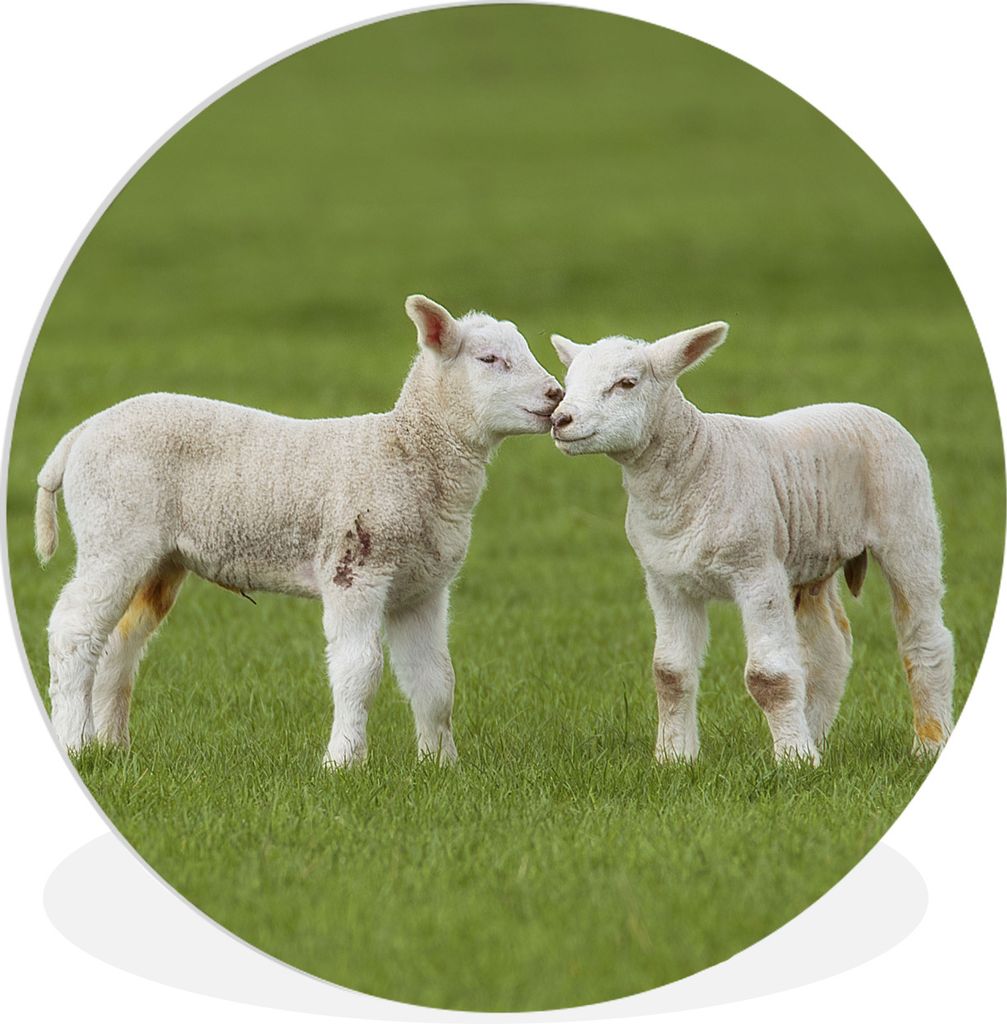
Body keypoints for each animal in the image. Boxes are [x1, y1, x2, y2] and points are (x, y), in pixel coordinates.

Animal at [35, 295, 563, 766]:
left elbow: (435, 680)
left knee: (120, 642)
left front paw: (440, 765)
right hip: (114, 531)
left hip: (158, 556)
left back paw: (111, 744)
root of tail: (79, 436)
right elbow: (359, 670)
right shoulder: (355, 569)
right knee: (73, 630)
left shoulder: (423, 588)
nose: (556, 394)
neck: (406, 452)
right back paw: (76, 743)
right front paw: (344, 762)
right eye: (489, 359)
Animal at [549, 322, 954, 765]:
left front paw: (793, 760)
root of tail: (863, 407)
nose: (560, 419)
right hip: (811, 558)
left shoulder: (757, 572)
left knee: (924, 637)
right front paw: (674, 758)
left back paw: (929, 743)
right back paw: (816, 736)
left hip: (908, 521)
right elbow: (670, 673)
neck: (697, 464)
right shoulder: (666, 581)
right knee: (829, 649)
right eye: (568, 382)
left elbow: (769, 677)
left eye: (626, 383)